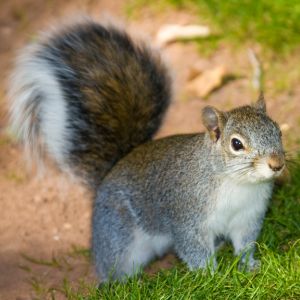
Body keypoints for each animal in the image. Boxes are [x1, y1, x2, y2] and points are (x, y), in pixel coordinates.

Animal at [8, 18, 286, 282]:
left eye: (278, 131)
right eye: (236, 144)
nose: (277, 164)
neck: (238, 184)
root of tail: (107, 177)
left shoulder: (247, 218)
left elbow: (245, 245)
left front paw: (250, 266)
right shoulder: (187, 218)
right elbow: (194, 250)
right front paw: (212, 278)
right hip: (117, 236)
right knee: (113, 267)